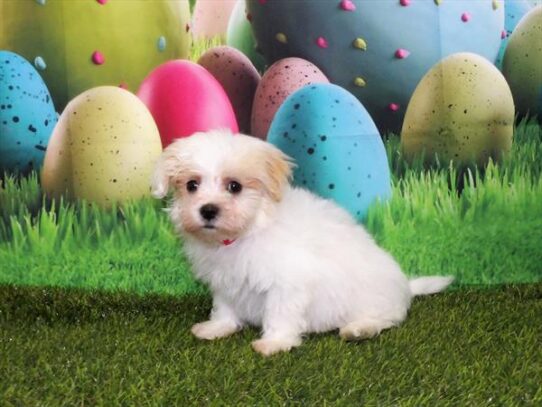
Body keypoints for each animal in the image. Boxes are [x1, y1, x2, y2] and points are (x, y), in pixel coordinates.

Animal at [153, 131, 454, 356]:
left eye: (234, 186)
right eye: (191, 185)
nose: (208, 210)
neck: (248, 229)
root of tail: (405, 287)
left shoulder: (287, 282)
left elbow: (279, 313)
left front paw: (274, 343)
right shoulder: (225, 280)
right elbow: (225, 305)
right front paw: (218, 327)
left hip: (373, 299)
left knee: (385, 318)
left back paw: (359, 329)